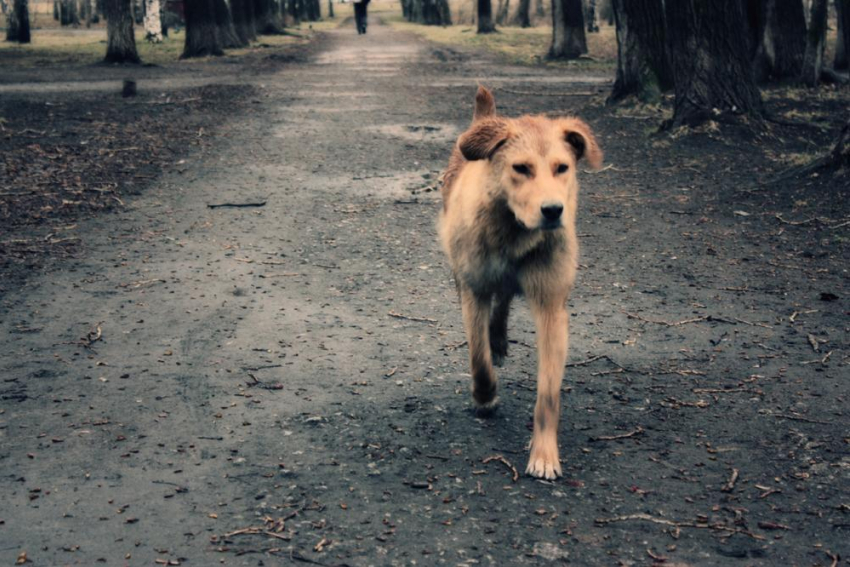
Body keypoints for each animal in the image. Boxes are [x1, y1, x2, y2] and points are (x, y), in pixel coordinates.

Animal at [440, 86, 600, 482]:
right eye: (521, 168)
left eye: (562, 168)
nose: (553, 210)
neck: (514, 233)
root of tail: (486, 120)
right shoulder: (474, 289)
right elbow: (478, 357)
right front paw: (485, 397)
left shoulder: (551, 307)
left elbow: (548, 395)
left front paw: (543, 453)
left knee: (506, 299)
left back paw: (499, 336)